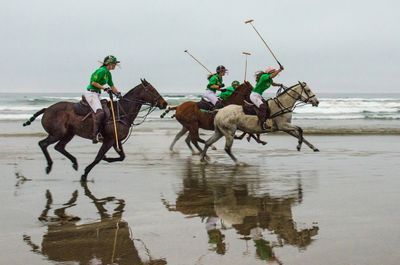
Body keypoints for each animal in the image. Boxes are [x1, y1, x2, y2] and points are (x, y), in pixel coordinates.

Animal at [23, 79, 167, 180]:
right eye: (152, 90)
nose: (164, 103)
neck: (122, 112)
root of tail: (46, 109)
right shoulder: (109, 140)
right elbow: (98, 157)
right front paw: (85, 174)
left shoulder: (116, 141)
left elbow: (122, 157)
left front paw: (107, 158)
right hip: (58, 133)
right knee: (43, 144)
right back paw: (49, 166)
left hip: (69, 133)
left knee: (59, 147)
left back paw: (74, 163)